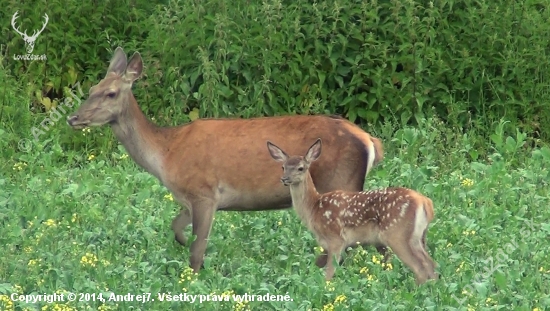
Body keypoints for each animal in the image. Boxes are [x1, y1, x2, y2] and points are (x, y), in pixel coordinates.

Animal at [67, 47, 386, 274]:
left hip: (341, 183)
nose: (73, 117)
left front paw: (195, 276)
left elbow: (197, 249)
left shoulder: (205, 193)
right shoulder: (189, 199)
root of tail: (368, 140)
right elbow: (177, 228)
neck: (166, 154)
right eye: (91, 90)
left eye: (110, 93)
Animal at [268, 139, 440, 286]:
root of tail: (426, 203)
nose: (284, 179)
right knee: (432, 265)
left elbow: (329, 273)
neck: (314, 207)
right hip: (417, 237)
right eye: (283, 167)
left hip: (397, 233)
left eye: (301, 168)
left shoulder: (336, 239)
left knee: (421, 268)